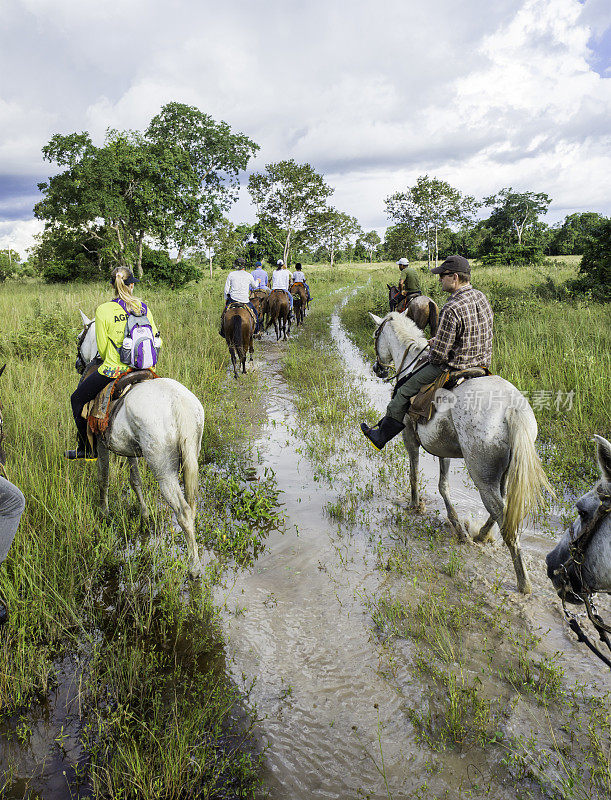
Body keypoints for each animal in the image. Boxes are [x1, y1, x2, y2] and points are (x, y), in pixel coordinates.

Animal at [74, 310, 207, 580]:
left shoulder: (101, 444)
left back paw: (193, 567)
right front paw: (144, 515)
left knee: (184, 512)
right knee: (193, 506)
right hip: (191, 455)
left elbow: (104, 477)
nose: (77, 363)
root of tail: (179, 405)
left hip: (164, 470)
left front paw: (104, 513)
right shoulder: (130, 449)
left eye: (78, 338)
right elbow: (135, 479)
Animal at [368, 312, 556, 592]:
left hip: (482, 474)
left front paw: (414, 505)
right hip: (504, 471)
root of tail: (512, 409)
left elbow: (414, 474)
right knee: (504, 509)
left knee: (504, 518)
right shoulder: (441, 446)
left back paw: (523, 584)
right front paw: (457, 527)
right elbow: (443, 485)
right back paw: (481, 535)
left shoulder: (409, 436)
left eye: (376, 335)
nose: (378, 369)